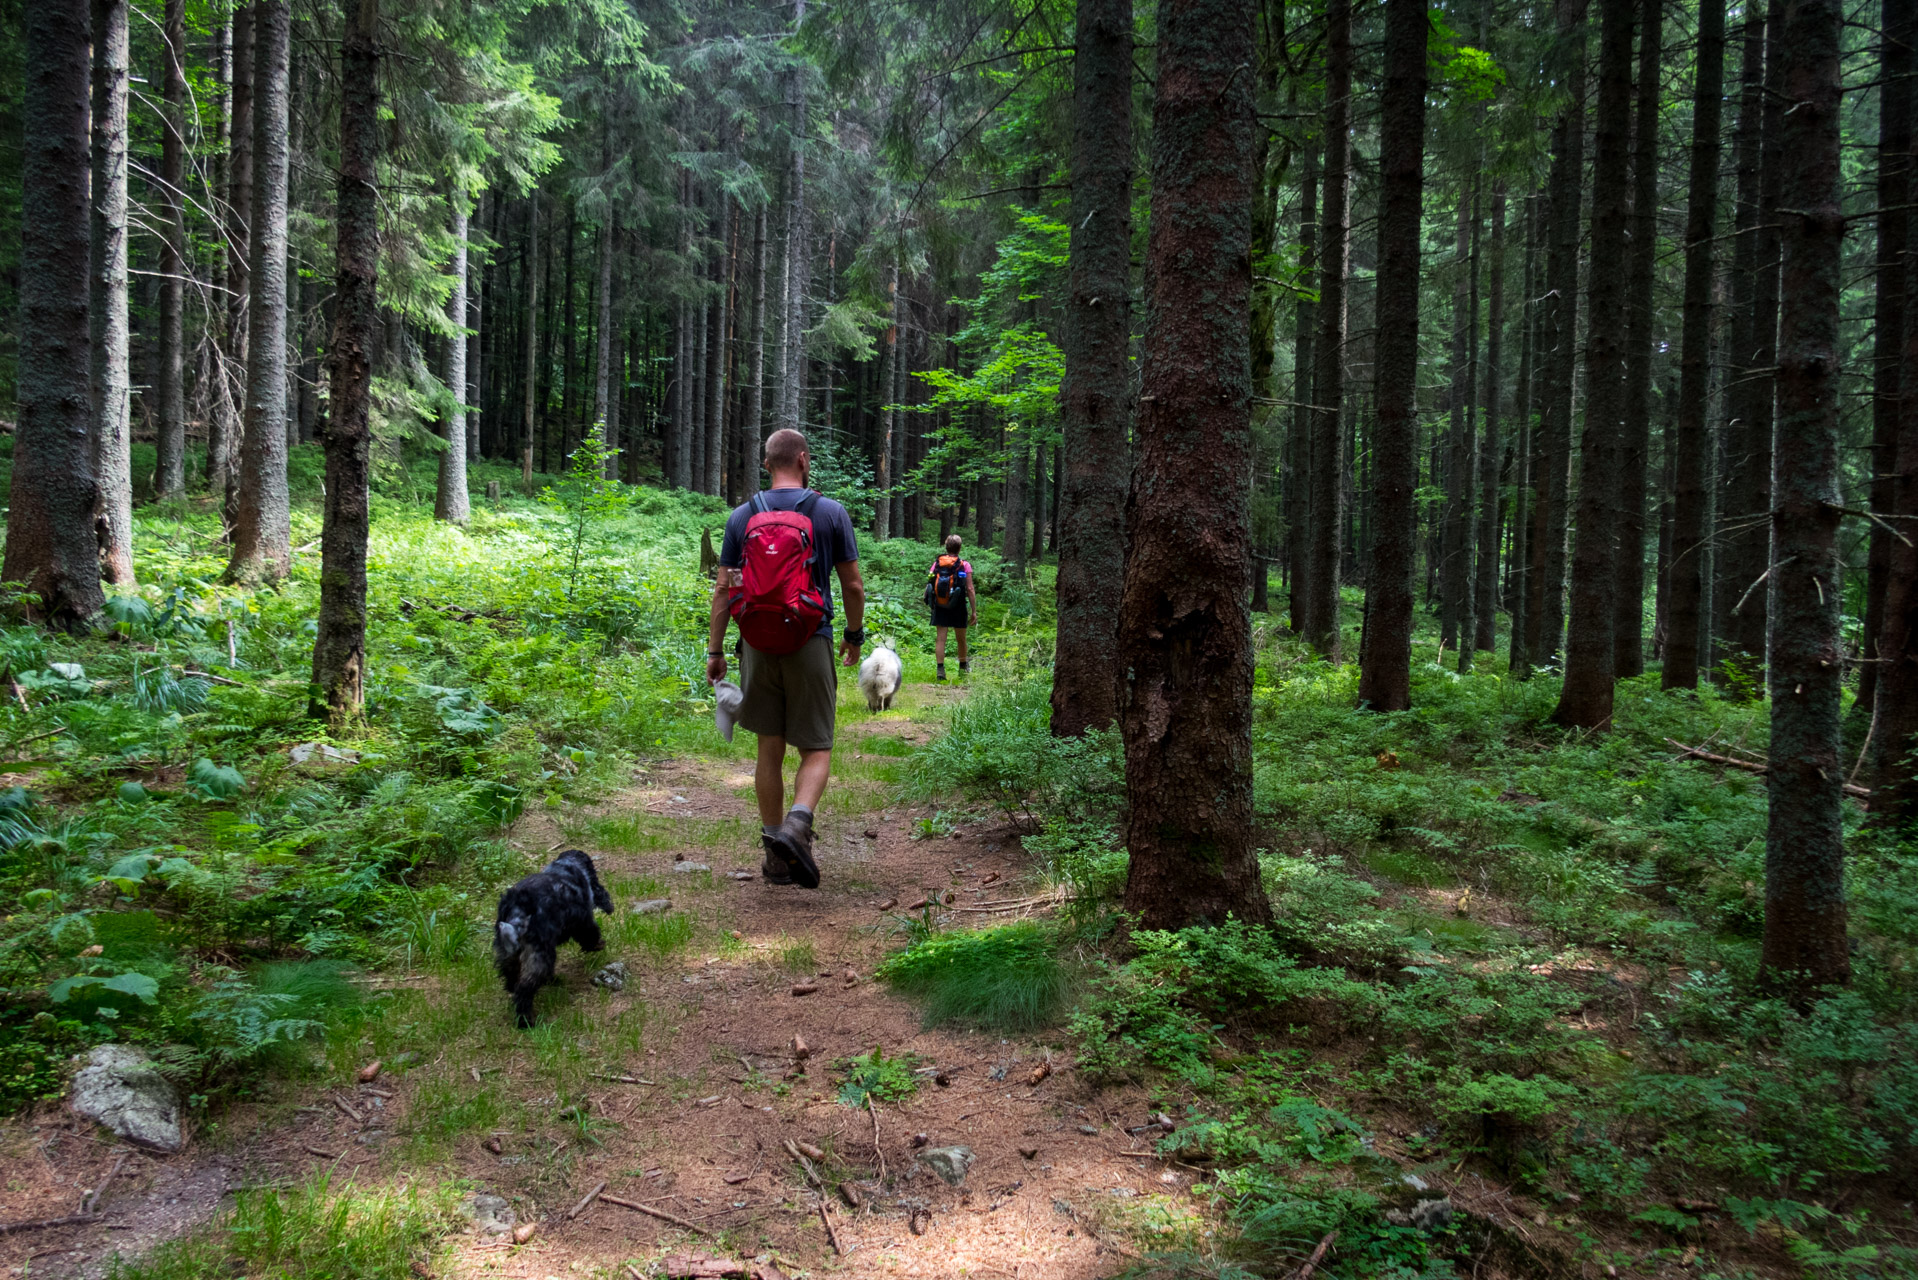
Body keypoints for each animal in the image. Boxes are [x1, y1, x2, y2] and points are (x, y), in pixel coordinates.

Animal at [494, 855, 613, 1028]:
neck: (566, 867)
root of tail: (517, 909)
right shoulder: (583, 919)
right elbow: (590, 934)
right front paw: (597, 945)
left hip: (508, 954)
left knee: (512, 976)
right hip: (539, 955)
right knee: (525, 989)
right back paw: (525, 1021)